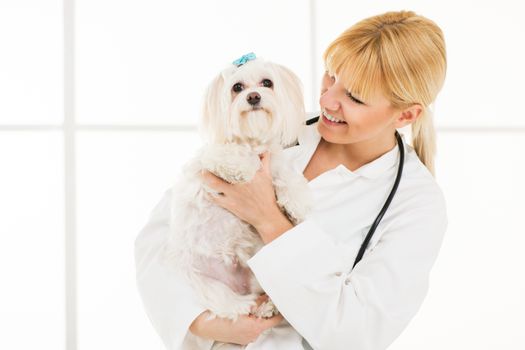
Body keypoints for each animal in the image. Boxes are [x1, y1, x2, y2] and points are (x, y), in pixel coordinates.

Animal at [162, 52, 312, 328]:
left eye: (267, 83)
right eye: (237, 88)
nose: (253, 97)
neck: (252, 141)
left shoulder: (274, 162)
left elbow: (285, 175)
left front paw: (297, 202)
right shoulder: (213, 157)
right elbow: (235, 156)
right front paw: (244, 167)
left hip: (260, 268)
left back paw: (269, 306)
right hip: (206, 283)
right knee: (229, 305)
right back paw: (249, 306)